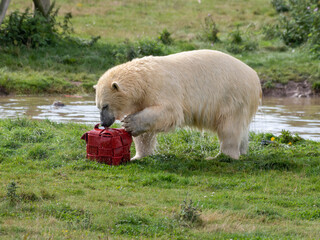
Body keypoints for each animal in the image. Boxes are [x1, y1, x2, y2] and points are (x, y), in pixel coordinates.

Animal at [95, 49, 262, 160]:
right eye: (98, 106)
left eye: (105, 106)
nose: (104, 122)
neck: (143, 78)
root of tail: (254, 77)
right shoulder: (142, 100)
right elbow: (145, 133)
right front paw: (139, 156)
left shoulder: (161, 87)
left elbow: (169, 112)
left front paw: (129, 123)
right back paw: (242, 150)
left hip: (231, 97)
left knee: (229, 128)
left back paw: (222, 156)